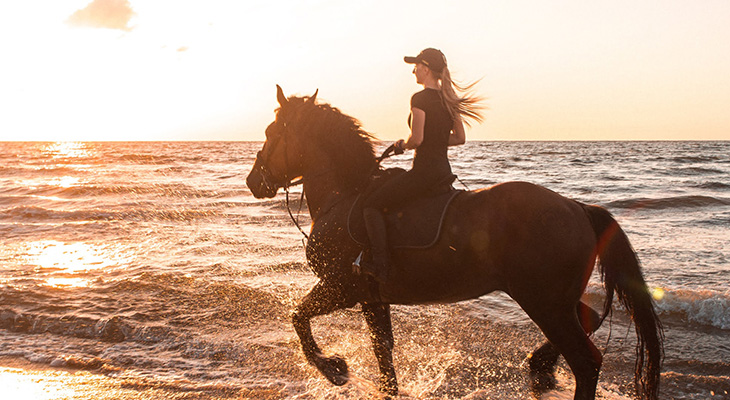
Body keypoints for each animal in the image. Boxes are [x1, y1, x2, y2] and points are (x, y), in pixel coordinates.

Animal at [245, 86, 660, 398]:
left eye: (270, 132)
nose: (253, 181)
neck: (342, 195)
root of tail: (577, 208)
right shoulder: (371, 296)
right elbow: (383, 351)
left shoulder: (341, 287)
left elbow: (298, 318)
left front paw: (334, 368)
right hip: (556, 300)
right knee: (590, 320)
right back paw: (539, 366)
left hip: (544, 302)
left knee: (586, 361)